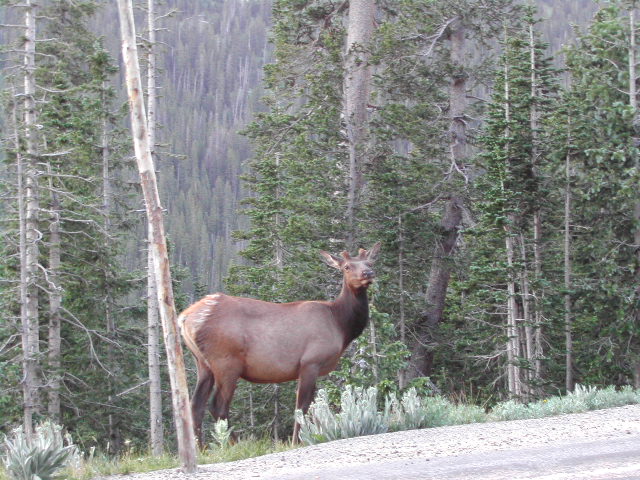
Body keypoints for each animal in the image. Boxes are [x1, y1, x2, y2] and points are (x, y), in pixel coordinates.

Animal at [180, 244, 380, 446]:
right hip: (226, 362)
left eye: (370, 263)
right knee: (217, 405)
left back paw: (201, 447)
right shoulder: (310, 362)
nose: (368, 273)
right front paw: (297, 441)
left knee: (195, 404)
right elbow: (302, 407)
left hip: (203, 363)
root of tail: (185, 318)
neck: (340, 325)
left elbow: (311, 407)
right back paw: (235, 444)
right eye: (346, 267)